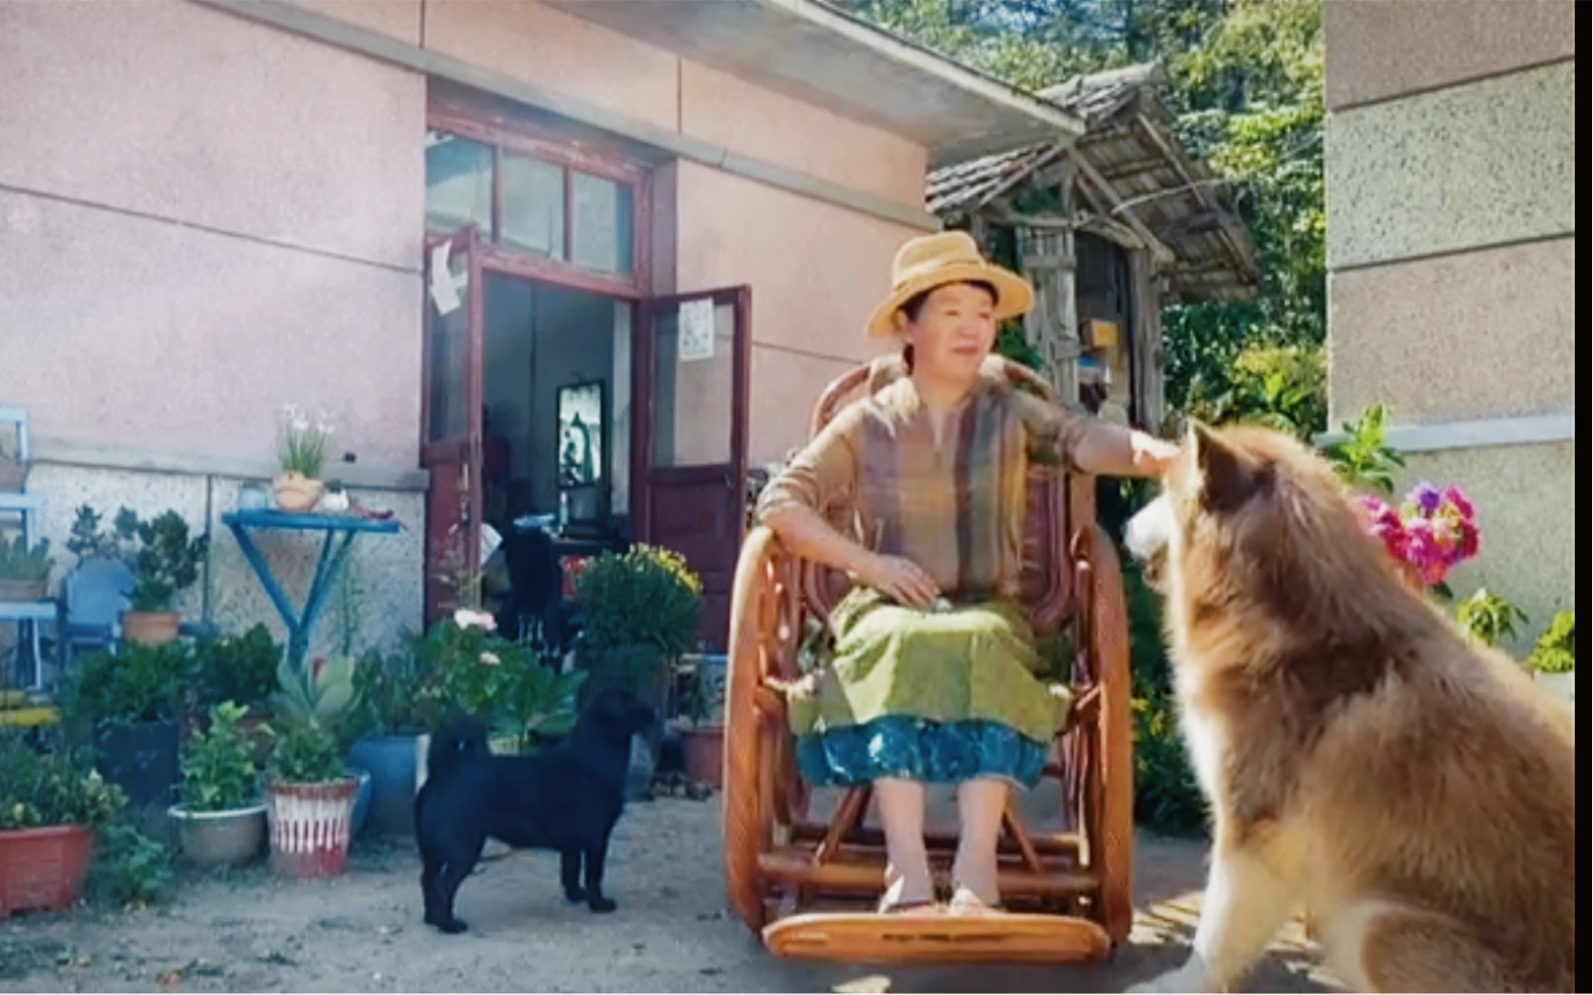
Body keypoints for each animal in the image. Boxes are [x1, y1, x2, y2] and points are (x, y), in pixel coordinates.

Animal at [417, 681, 659, 929]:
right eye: (633, 702)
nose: (654, 711)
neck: (595, 755)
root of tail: (445, 771)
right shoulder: (596, 840)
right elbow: (594, 875)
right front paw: (598, 904)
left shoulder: (573, 844)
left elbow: (571, 871)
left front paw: (576, 896)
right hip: (463, 850)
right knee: (444, 887)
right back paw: (448, 924)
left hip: (433, 852)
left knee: (428, 881)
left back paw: (431, 919)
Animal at [1127, 420, 1573, 993]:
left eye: (1164, 489)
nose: (1123, 526)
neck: (1301, 638)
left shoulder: (1253, 831)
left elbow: (1215, 938)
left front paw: (1179, 984)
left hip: (1373, 926)